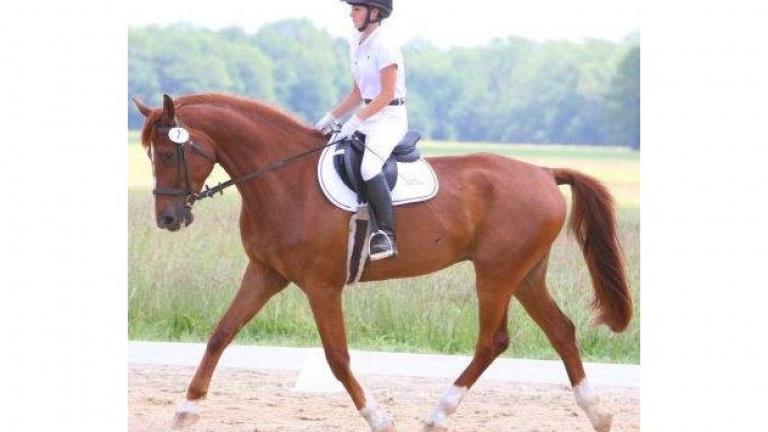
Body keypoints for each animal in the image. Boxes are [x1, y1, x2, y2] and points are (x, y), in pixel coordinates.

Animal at [132, 94, 632, 432]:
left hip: (495, 275)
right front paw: (185, 410)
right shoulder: (265, 273)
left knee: (493, 341)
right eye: (152, 154)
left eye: (171, 152)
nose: (167, 219)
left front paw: (379, 417)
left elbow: (336, 357)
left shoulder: (322, 285)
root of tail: (544, 172)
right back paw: (598, 412)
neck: (283, 179)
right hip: (525, 274)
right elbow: (221, 333)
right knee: (561, 330)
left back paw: (437, 414)